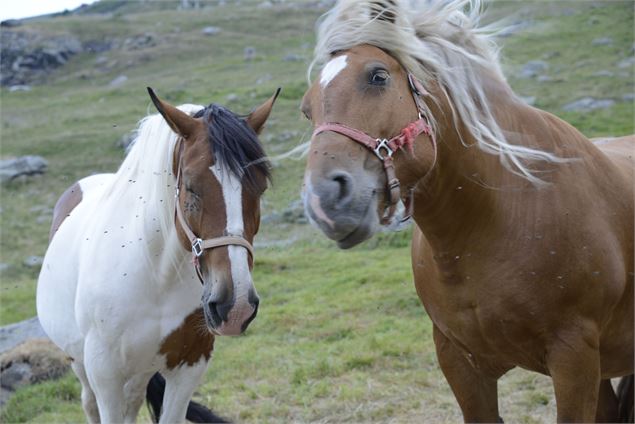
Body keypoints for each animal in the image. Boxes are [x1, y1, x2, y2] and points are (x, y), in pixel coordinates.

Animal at [36, 88, 280, 422]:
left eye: (260, 186)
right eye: (190, 186)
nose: (235, 305)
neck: (154, 275)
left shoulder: (189, 365)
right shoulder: (105, 374)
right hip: (81, 364)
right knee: (89, 403)